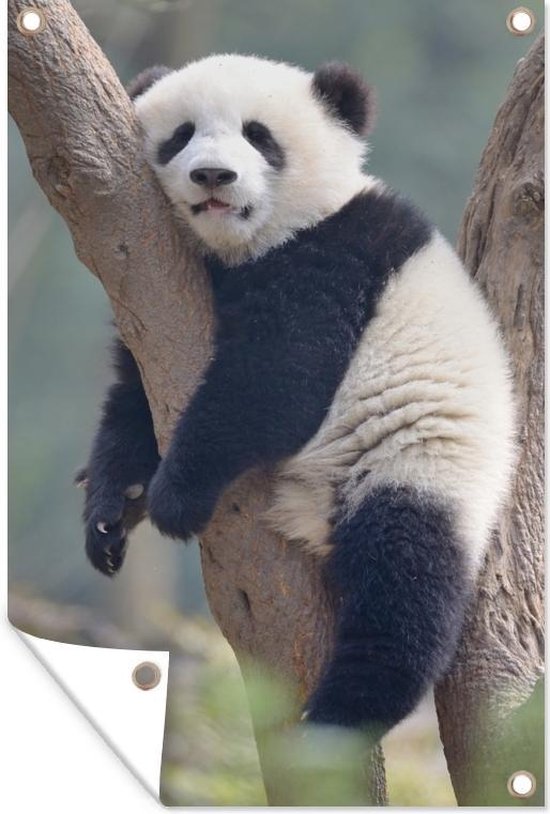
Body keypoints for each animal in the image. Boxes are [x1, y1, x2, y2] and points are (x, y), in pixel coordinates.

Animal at [79, 54, 515, 734]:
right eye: (182, 134)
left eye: (259, 136)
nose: (213, 174)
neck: (245, 249)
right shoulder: (152, 294)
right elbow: (134, 397)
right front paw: (112, 509)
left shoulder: (338, 255)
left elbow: (277, 380)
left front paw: (175, 495)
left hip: (421, 465)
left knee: (406, 579)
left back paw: (340, 719)